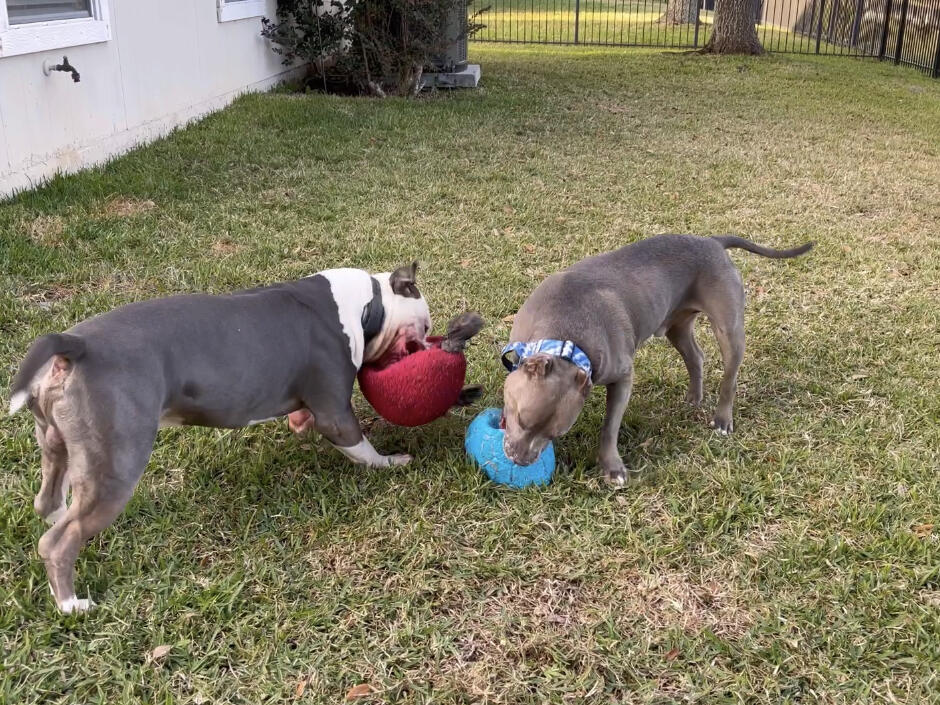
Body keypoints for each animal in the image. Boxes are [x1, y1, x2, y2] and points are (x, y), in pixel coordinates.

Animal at [8, 262, 434, 608]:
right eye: (426, 326)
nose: (430, 342)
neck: (365, 304)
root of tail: (77, 346)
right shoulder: (335, 413)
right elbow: (362, 447)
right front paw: (392, 461)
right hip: (117, 461)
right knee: (60, 540)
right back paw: (71, 603)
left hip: (57, 443)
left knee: (48, 503)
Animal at [500, 235, 816, 484]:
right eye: (522, 418)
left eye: (557, 433)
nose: (519, 460)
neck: (566, 338)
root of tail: (712, 240)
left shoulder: (623, 377)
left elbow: (610, 427)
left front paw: (612, 468)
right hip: (678, 326)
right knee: (696, 357)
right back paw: (693, 398)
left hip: (729, 327)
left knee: (730, 375)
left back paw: (723, 419)